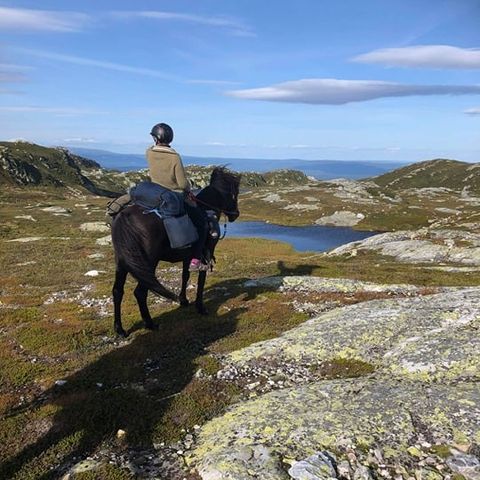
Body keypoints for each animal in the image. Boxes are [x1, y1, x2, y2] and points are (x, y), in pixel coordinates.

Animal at [111, 167, 240, 336]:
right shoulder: (205, 254)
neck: (206, 210)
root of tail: (125, 216)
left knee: (117, 291)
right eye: (235, 193)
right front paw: (201, 307)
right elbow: (201, 279)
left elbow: (185, 276)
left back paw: (120, 329)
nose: (235, 215)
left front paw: (183, 300)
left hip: (122, 263)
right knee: (140, 292)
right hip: (148, 262)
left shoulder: (187, 256)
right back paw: (150, 324)